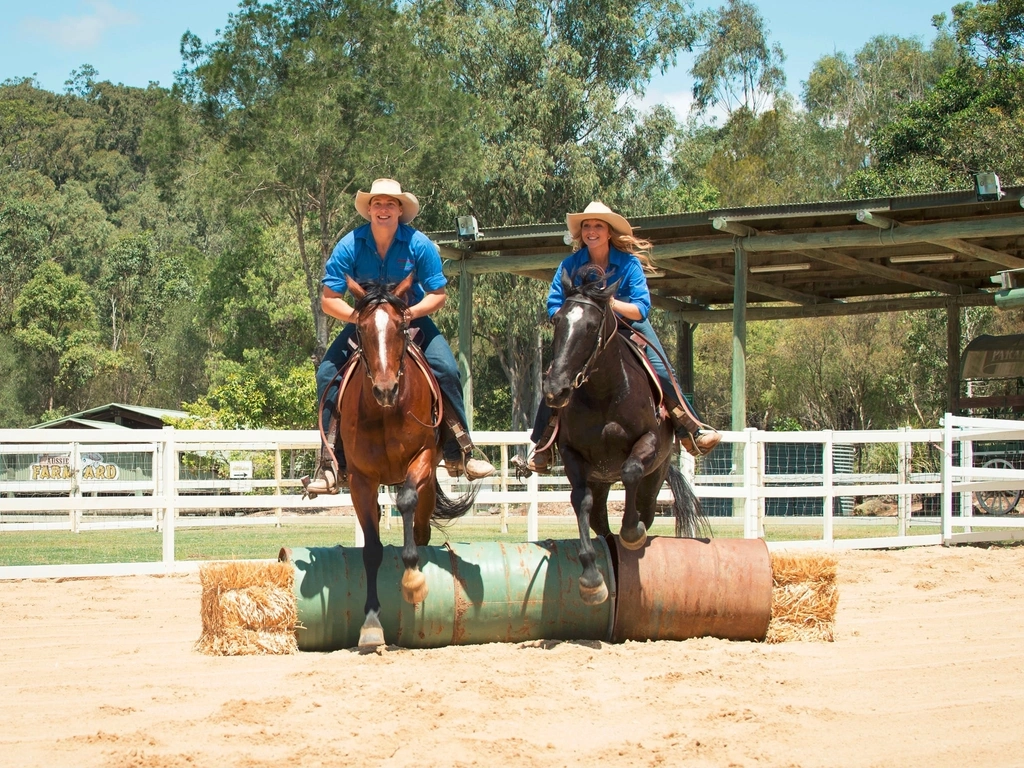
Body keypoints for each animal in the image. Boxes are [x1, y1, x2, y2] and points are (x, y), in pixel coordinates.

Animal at [339, 274, 475, 647]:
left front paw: (413, 581)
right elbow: (371, 548)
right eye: (361, 328)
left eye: (400, 327)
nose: (386, 389)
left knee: (422, 527)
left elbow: (406, 501)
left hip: (428, 482)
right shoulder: (360, 479)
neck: (386, 412)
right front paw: (371, 623)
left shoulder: (422, 459)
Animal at [544, 268, 704, 606]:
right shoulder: (572, 455)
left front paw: (631, 532)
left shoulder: (647, 442)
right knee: (600, 521)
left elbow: (630, 471)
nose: (556, 389)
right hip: (601, 480)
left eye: (592, 326)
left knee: (645, 507)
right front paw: (592, 579)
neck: (604, 393)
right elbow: (581, 500)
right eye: (557, 321)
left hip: (655, 477)